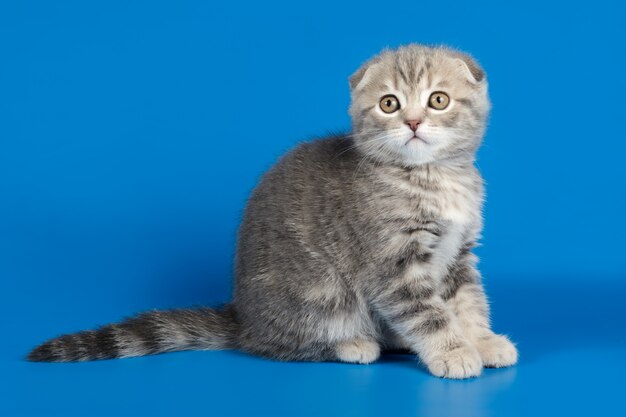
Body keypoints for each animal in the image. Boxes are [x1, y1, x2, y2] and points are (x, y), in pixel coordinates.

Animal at [28, 44, 516, 376]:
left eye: (438, 99)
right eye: (389, 103)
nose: (413, 123)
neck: (431, 177)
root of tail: (243, 318)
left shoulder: (457, 254)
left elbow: (467, 300)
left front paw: (482, 340)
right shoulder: (393, 264)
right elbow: (428, 313)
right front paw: (454, 351)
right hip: (322, 296)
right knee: (279, 345)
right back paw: (355, 344)